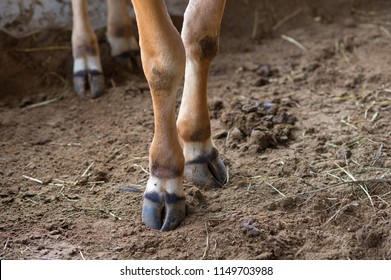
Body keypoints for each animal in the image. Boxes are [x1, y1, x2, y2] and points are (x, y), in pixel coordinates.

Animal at [72, 0, 228, 231]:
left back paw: (121, 39)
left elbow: (201, 35)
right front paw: (164, 180)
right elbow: (163, 63)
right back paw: (85, 57)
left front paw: (197, 145)